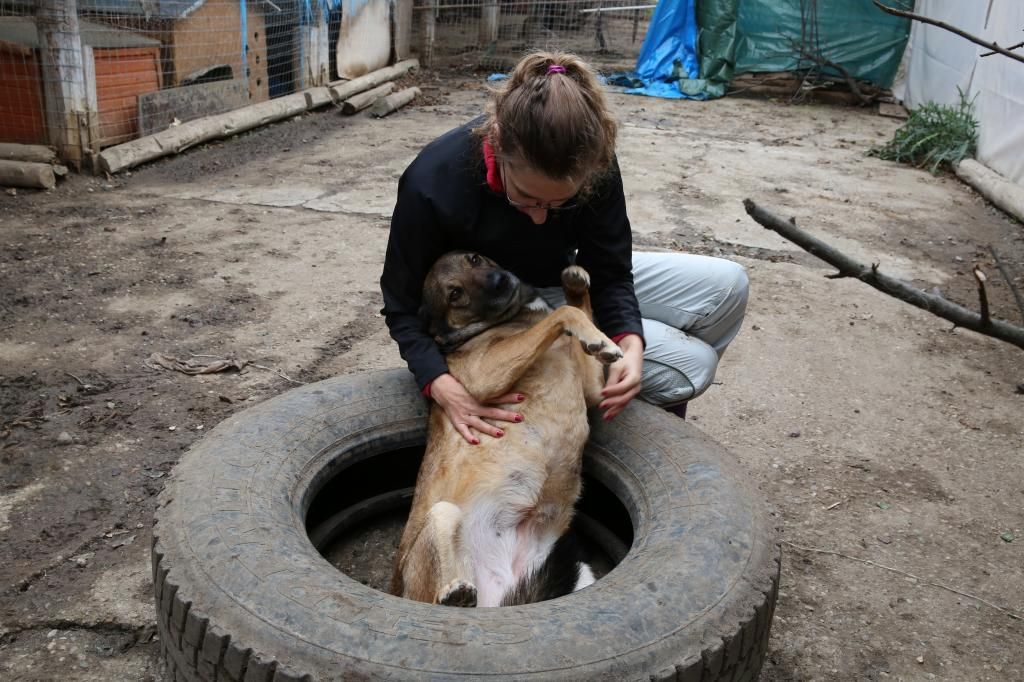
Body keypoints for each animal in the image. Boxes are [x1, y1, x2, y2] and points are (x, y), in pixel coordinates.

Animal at [387, 249, 618, 606]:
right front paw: (593, 333)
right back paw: (453, 593)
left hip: (573, 574)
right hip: (442, 515)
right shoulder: (483, 376)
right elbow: (564, 313)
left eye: (474, 258)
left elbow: (578, 313)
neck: (514, 318)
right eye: (455, 294)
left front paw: (577, 287)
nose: (500, 281)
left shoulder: (594, 390)